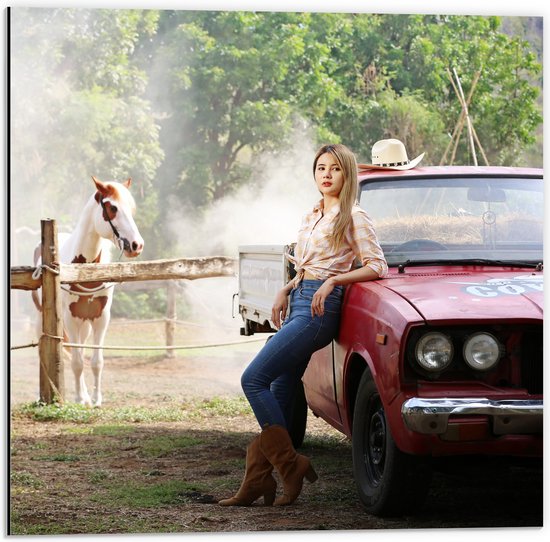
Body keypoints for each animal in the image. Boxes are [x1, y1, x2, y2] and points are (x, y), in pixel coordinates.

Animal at [32, 178, 144, 408]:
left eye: (132, 209)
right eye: (112, 207)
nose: (136, 245)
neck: (84, 271)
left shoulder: (101, 318)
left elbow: (95, 361)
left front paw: (95, 399)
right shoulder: (70, 318)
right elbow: (76, 362)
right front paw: (78, 398)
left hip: (84, 324)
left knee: (81, 349)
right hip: (44, 320)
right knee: (47, 349)